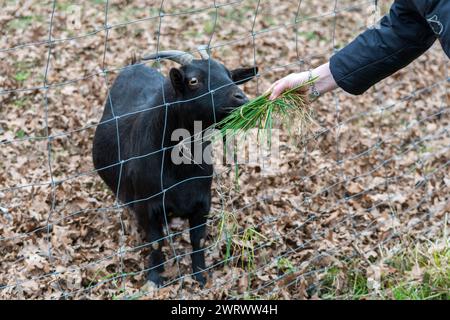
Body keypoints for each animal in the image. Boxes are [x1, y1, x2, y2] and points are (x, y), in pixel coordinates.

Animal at [92, 48, 256, 286]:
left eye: (230, 75)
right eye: (194, 80)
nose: (240, 98)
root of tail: (134, 66)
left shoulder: (202, 202)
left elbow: (198, 240)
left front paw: (200, 276)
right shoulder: (146, 206)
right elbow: (156, 242)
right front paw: (154, 278)